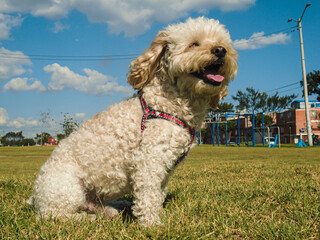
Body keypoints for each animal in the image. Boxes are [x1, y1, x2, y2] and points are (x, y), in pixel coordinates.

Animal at [27, 17, 238, 227]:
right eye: (194, 44)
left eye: (224, 44)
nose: (220, 50)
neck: (168, 104)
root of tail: (35, 197)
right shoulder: (149, 159)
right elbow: (148, 195)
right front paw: (152, 224)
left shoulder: (165, 170)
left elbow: (158, 194)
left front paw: (159, 214)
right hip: (67, 187)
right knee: (53, 215)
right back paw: (84, 217)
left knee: (95, 205)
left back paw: (116, 207)